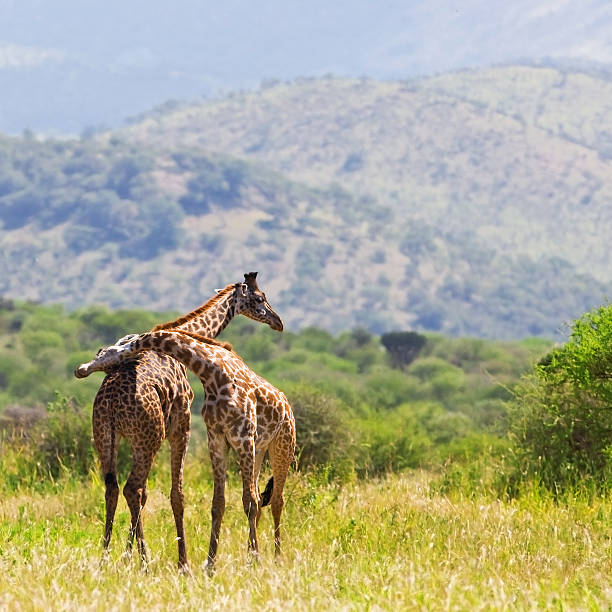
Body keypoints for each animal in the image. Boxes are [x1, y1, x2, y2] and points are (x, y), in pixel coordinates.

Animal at [82, 272, 282, 568]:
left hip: (104, 436)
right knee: (132, 489)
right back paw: (145, 561)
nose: (278, 322)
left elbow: (149, 495)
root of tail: (111, 403)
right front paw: (182, 563)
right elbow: (177, 495)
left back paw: (105, 558)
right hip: (147, 438)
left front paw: (127, 554)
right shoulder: (182, 427)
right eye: (259, 298)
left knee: (114, 489)